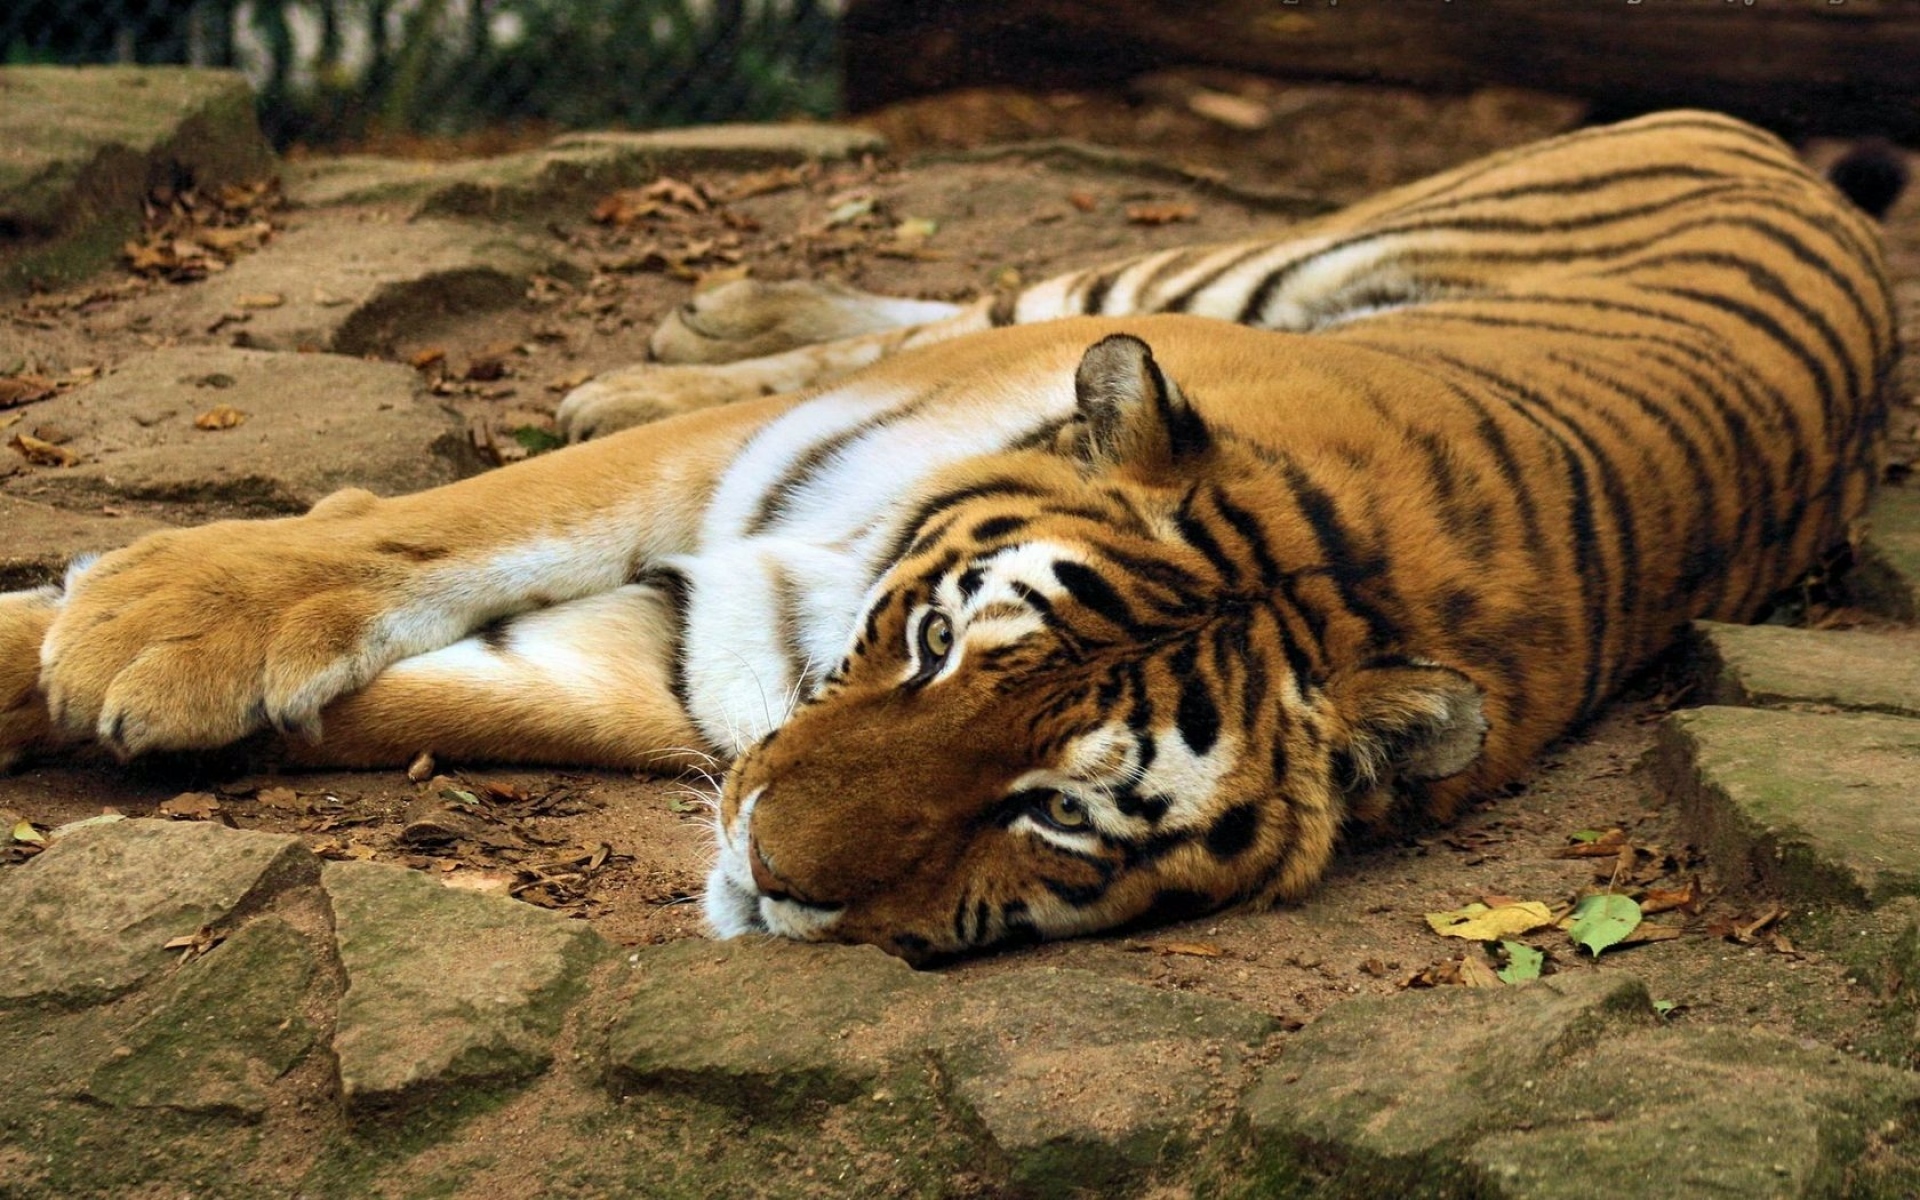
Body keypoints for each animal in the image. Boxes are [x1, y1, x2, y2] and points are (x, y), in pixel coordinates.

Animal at [0, 111, 1899, 962]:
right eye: (933, 648)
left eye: (1053, 810)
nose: (767, 875)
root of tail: (1769, 139)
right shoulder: (730, 497)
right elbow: (452, 523)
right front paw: (152, 617)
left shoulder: (688, 660)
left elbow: (449, 687)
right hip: (1178, 272)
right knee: (970, 294)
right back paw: (668, 338)